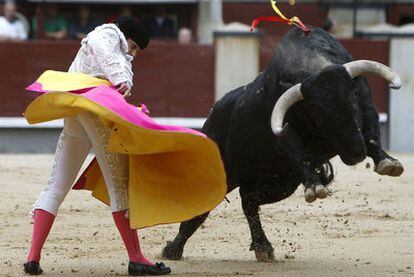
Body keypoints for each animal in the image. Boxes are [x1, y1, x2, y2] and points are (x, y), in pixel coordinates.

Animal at [162, 27, 404, 260]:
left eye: (352, 101)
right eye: (317, 114)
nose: (355, 154)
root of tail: (212, 117)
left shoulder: (368, 108)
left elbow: (372, 136)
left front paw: (388, 163)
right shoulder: (284, 131)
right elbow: (299, 151)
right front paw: (315, 187)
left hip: (280, 182)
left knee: (249, 201)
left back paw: (262, 247)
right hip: (224, 175)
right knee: (202, 212)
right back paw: (173, 250)